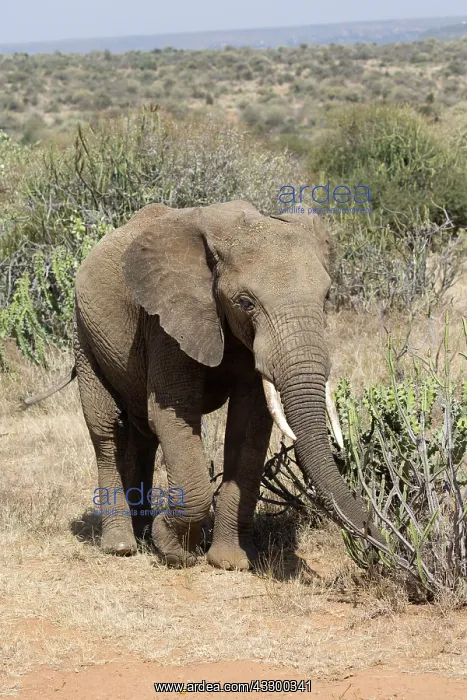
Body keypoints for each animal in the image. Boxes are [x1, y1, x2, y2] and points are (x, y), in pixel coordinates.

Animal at [25, 200, 384, 570]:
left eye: (326, 298)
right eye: (245, 303)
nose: (375, 535)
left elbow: (249, 425)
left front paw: (230, 562)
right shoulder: (165, 322)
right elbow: (172, 416)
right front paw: (175, 550)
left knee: (143, 435)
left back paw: (142, 534)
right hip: (84, 334)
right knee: (107, 429)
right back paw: (122, 545)